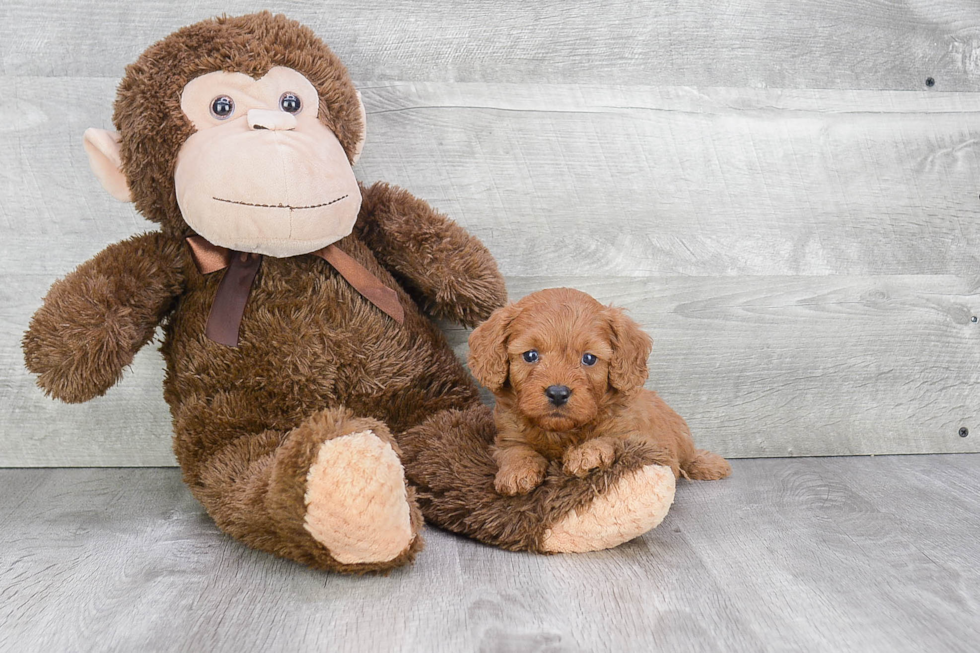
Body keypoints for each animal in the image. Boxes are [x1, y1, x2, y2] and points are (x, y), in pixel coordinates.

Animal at [468, 288, 736, 496]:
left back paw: (709, 464)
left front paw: (587, 453)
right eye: (531, 355)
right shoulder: (507, 435)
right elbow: (515, 450)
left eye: (589, 358)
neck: (561, 432)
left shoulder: (638, 437)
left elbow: (611, 438)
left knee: (688, 456)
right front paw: (516, 472)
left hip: (681, 434)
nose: (558, 393)